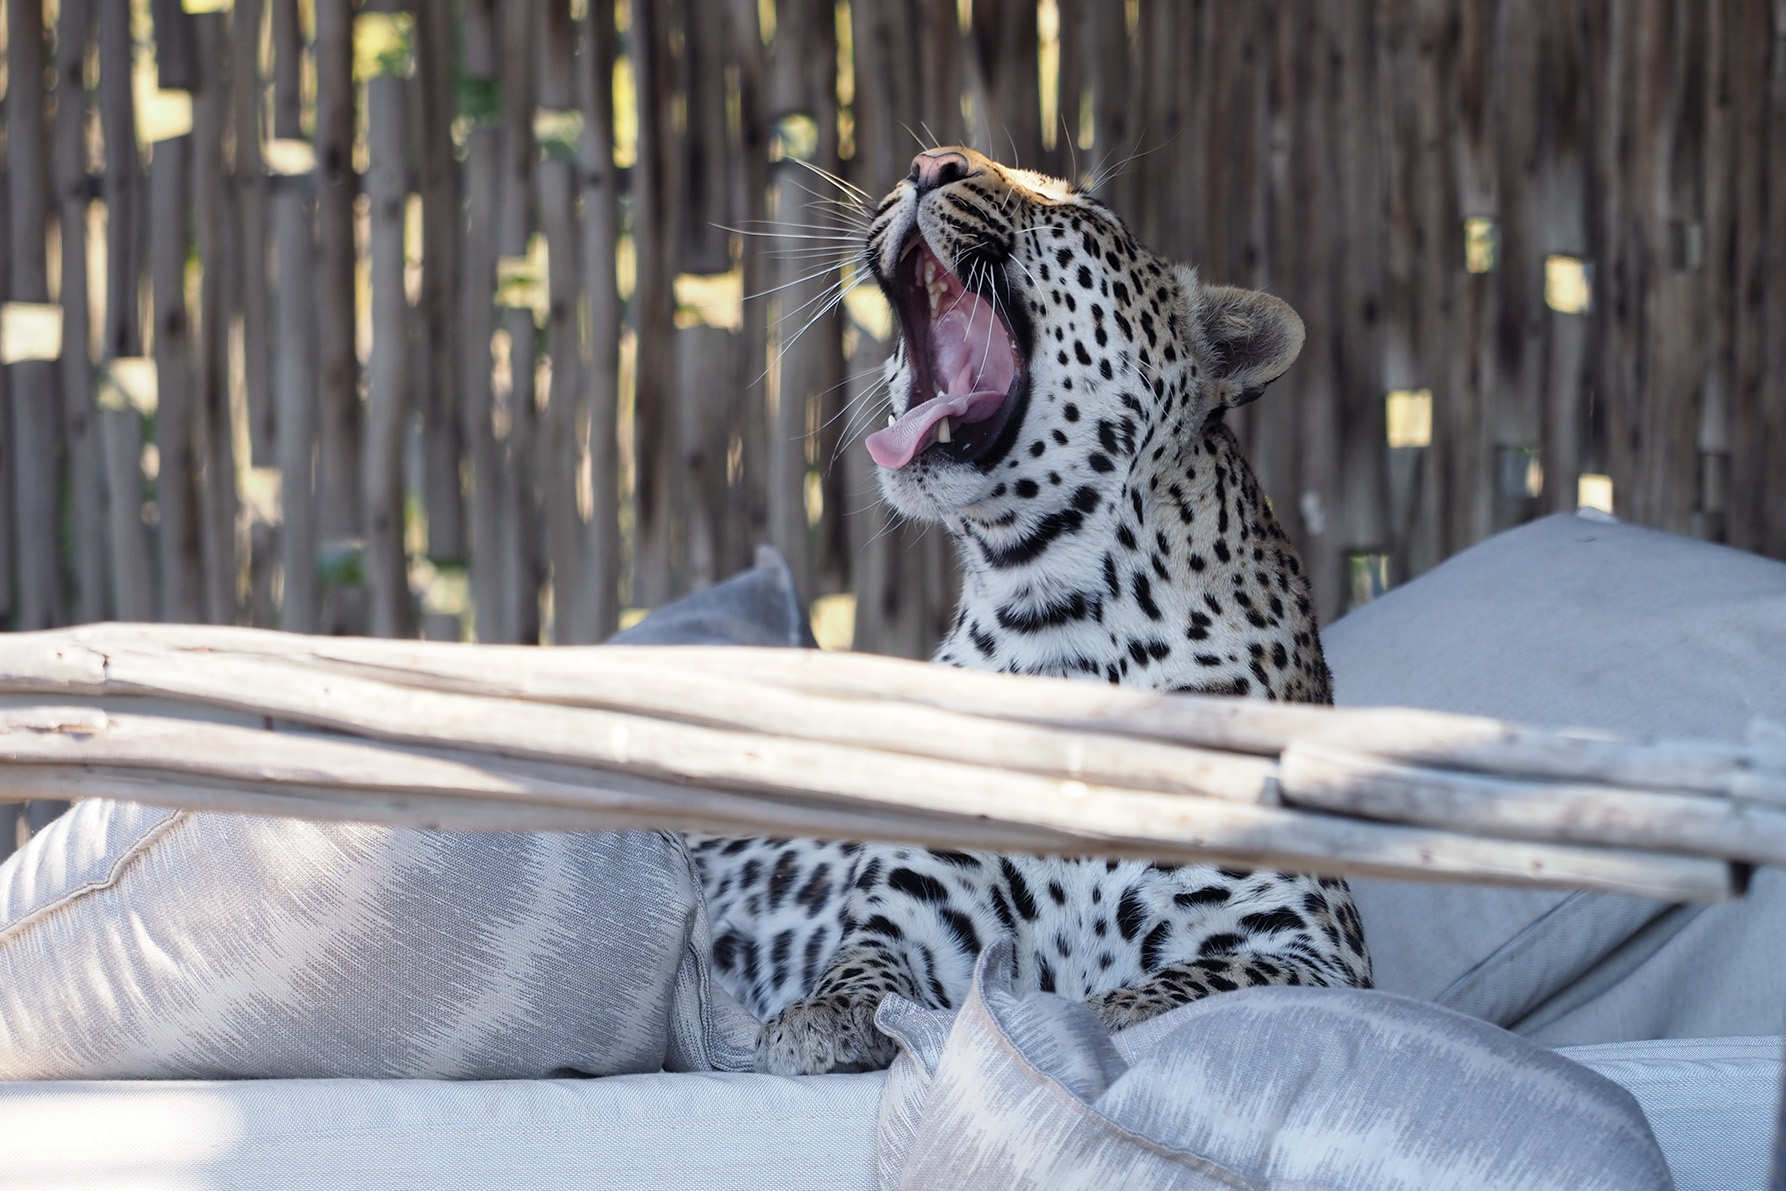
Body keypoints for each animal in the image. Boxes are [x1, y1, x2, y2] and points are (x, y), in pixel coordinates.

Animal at [689, 144, 1371, 1078]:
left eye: (1080, 209)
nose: (930, 163)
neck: (1050, 608)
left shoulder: (1311, 942)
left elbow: (1193, 982)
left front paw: (1089, 1014)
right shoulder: (925, 897)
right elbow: (866, 954)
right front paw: (822, 1014)